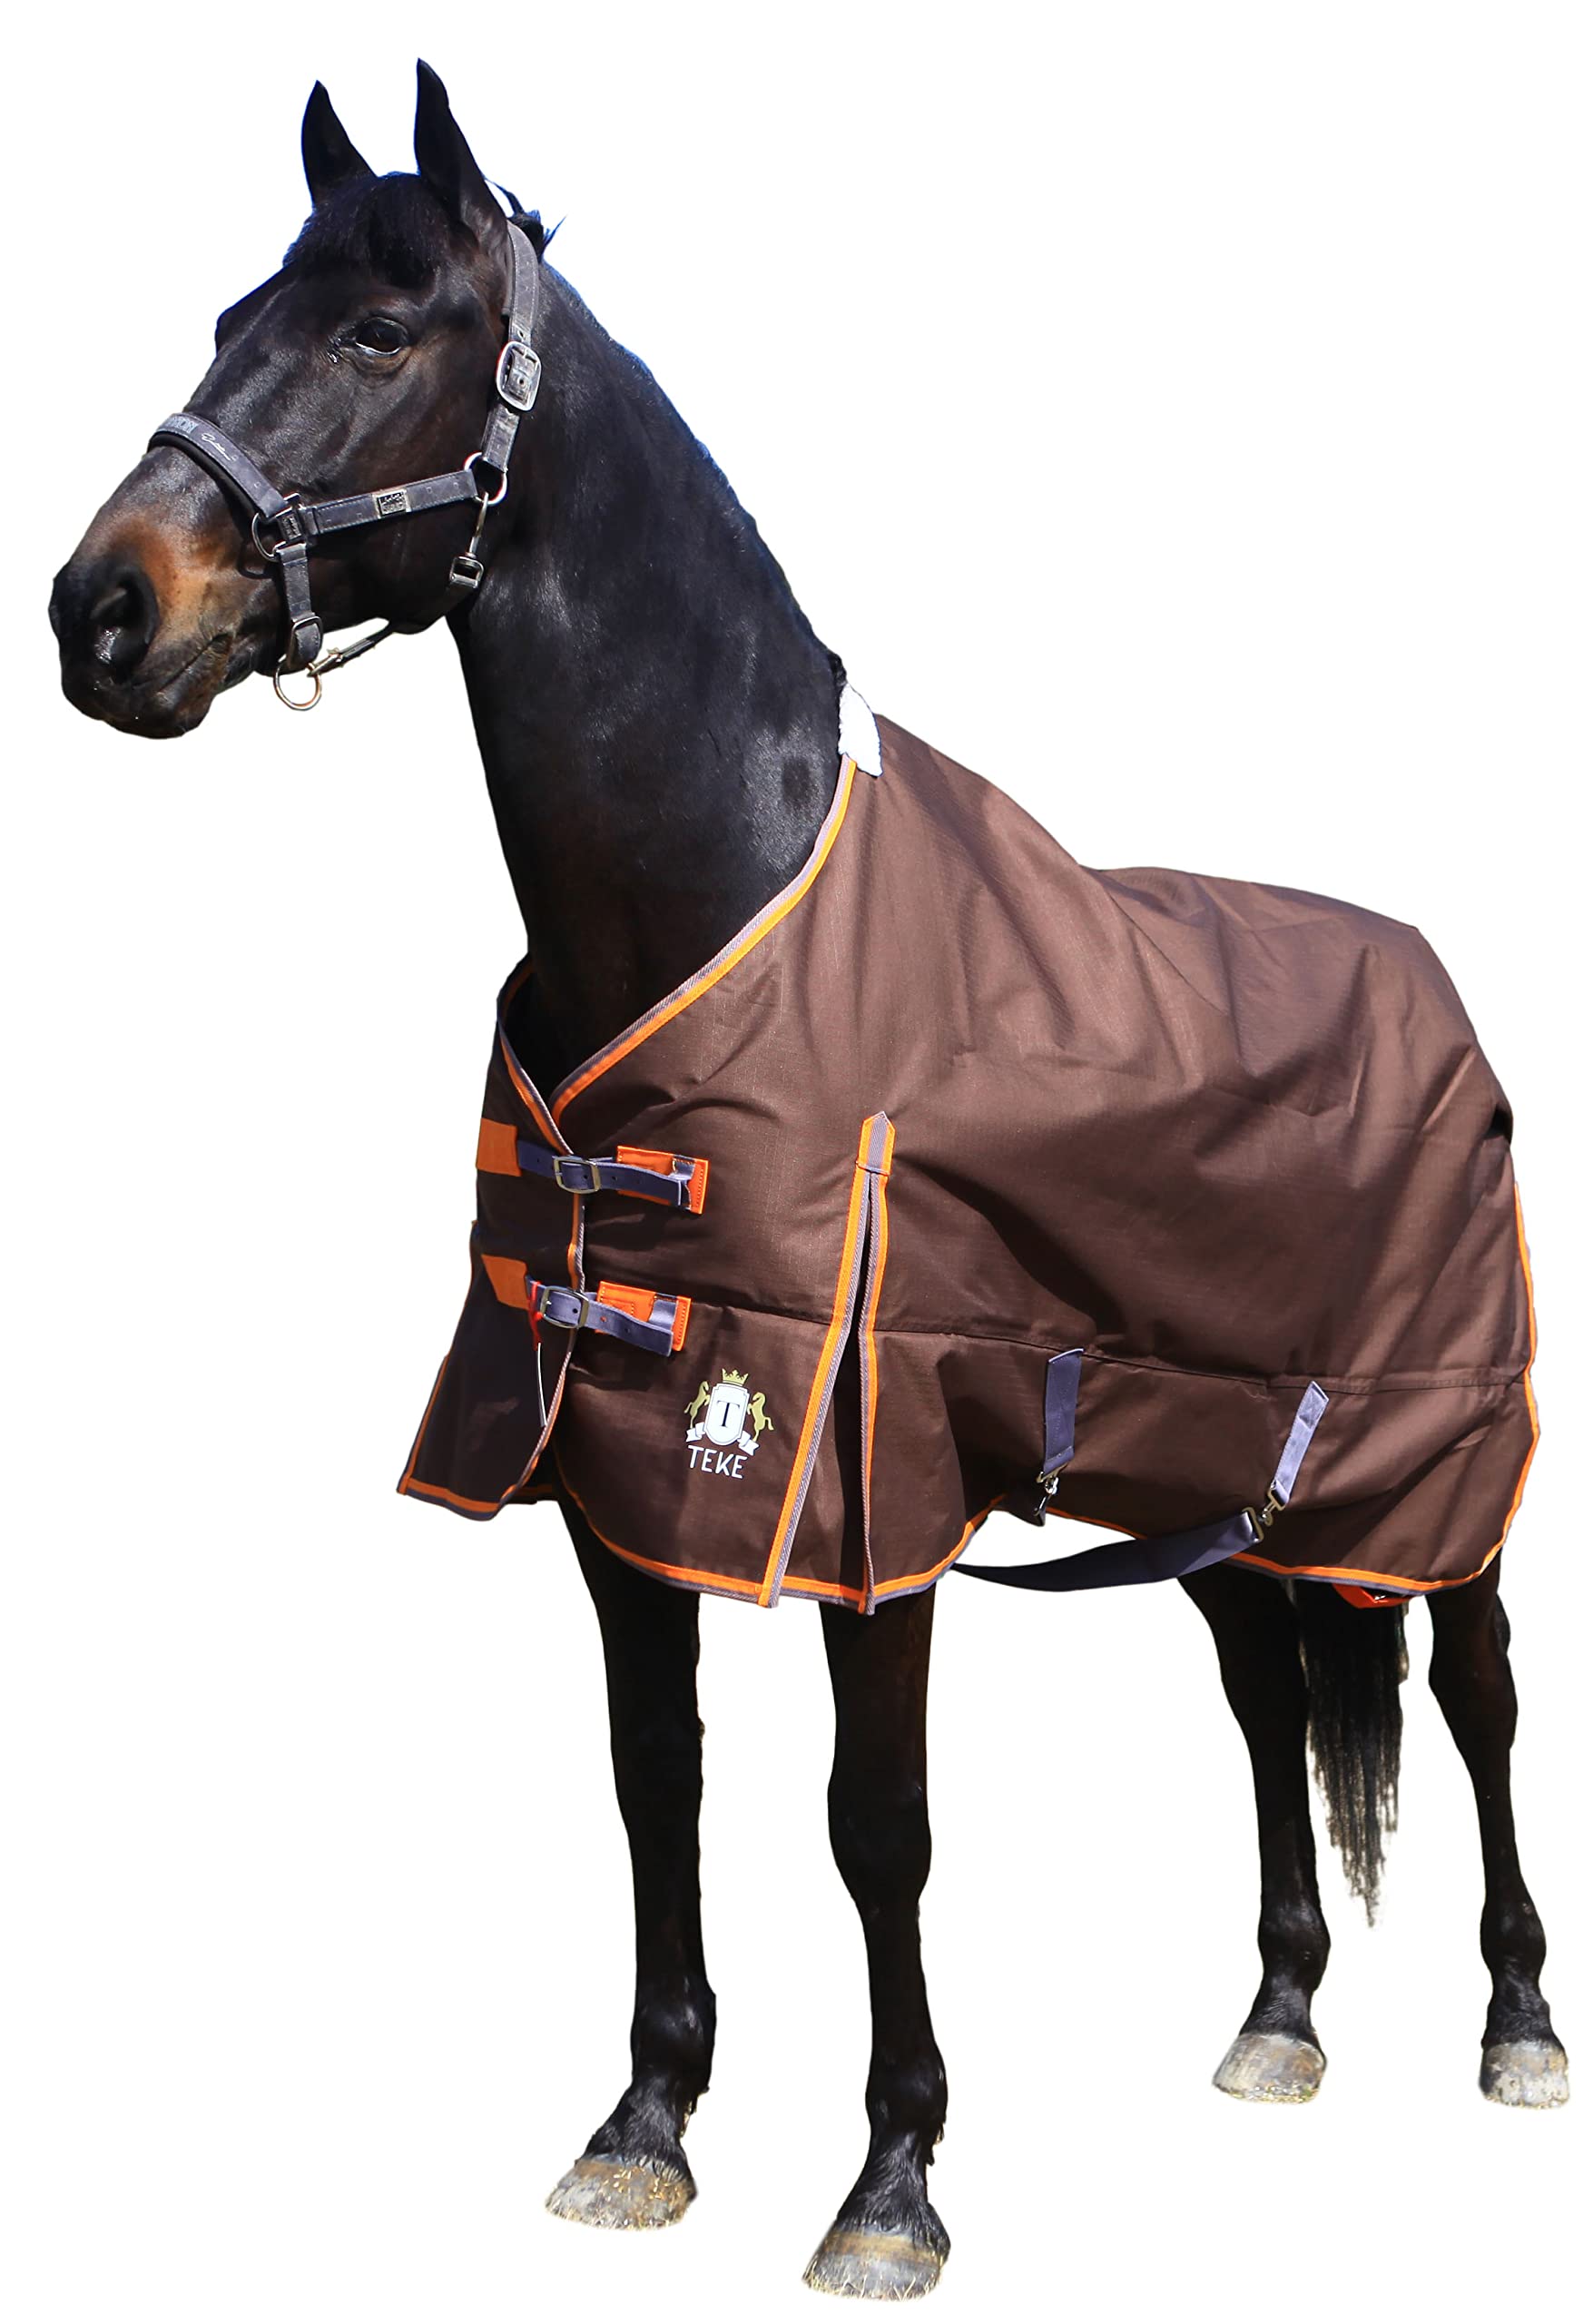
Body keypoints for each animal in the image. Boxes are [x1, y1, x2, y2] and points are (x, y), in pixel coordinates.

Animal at [49, 64, 1568, 2303]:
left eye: (379, 331)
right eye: (235, 309)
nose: (99, 610)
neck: (718, 891)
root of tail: (1435, 984)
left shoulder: (863, 1486)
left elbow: (878, 1823)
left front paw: (890, 2184)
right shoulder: (614, 1468)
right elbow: (654, 1789)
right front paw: (644, 2123)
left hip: (1434, 1455)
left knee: (1471, 1693)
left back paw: (1518, 2022)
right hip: (1203, 1457)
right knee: (1262, 1691)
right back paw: (1280, 2016)